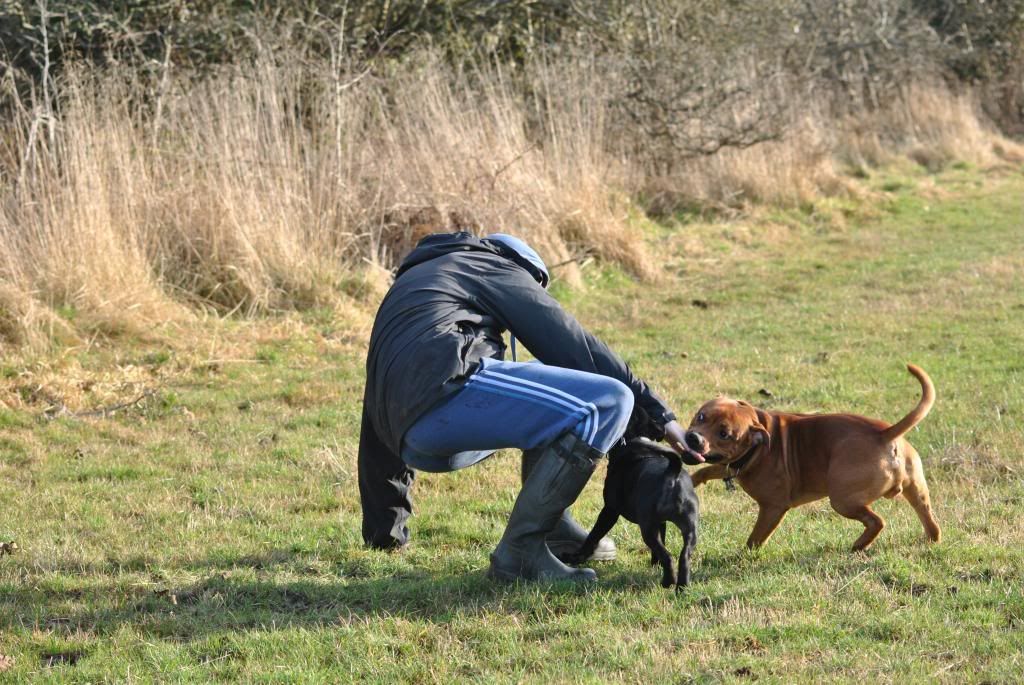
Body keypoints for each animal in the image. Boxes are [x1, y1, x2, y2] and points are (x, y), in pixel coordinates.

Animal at [569, 438, 704, 589]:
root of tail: (672, 472)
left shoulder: (609, 511)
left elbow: (594, 535)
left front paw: (577, 557)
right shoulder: (661, 523)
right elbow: (661, 542)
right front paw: (655, 565)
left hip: (648, 529)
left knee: (668, 556)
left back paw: (668, 582)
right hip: (690, 529)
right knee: (683, 556)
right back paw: (682, 586)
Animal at [684, 362, 937, 548]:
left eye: (724, 434)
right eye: (701, 416)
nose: (693, 438)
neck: (757, 447)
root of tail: (885, 434)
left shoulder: (773, 508)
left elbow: (754, 539)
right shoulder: (729, 464)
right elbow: (709, 468)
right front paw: (693, 480)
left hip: (842, 500)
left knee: (876, 522)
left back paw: (858, 546)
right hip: (917, 491)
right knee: (931, 521)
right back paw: (930, 540)